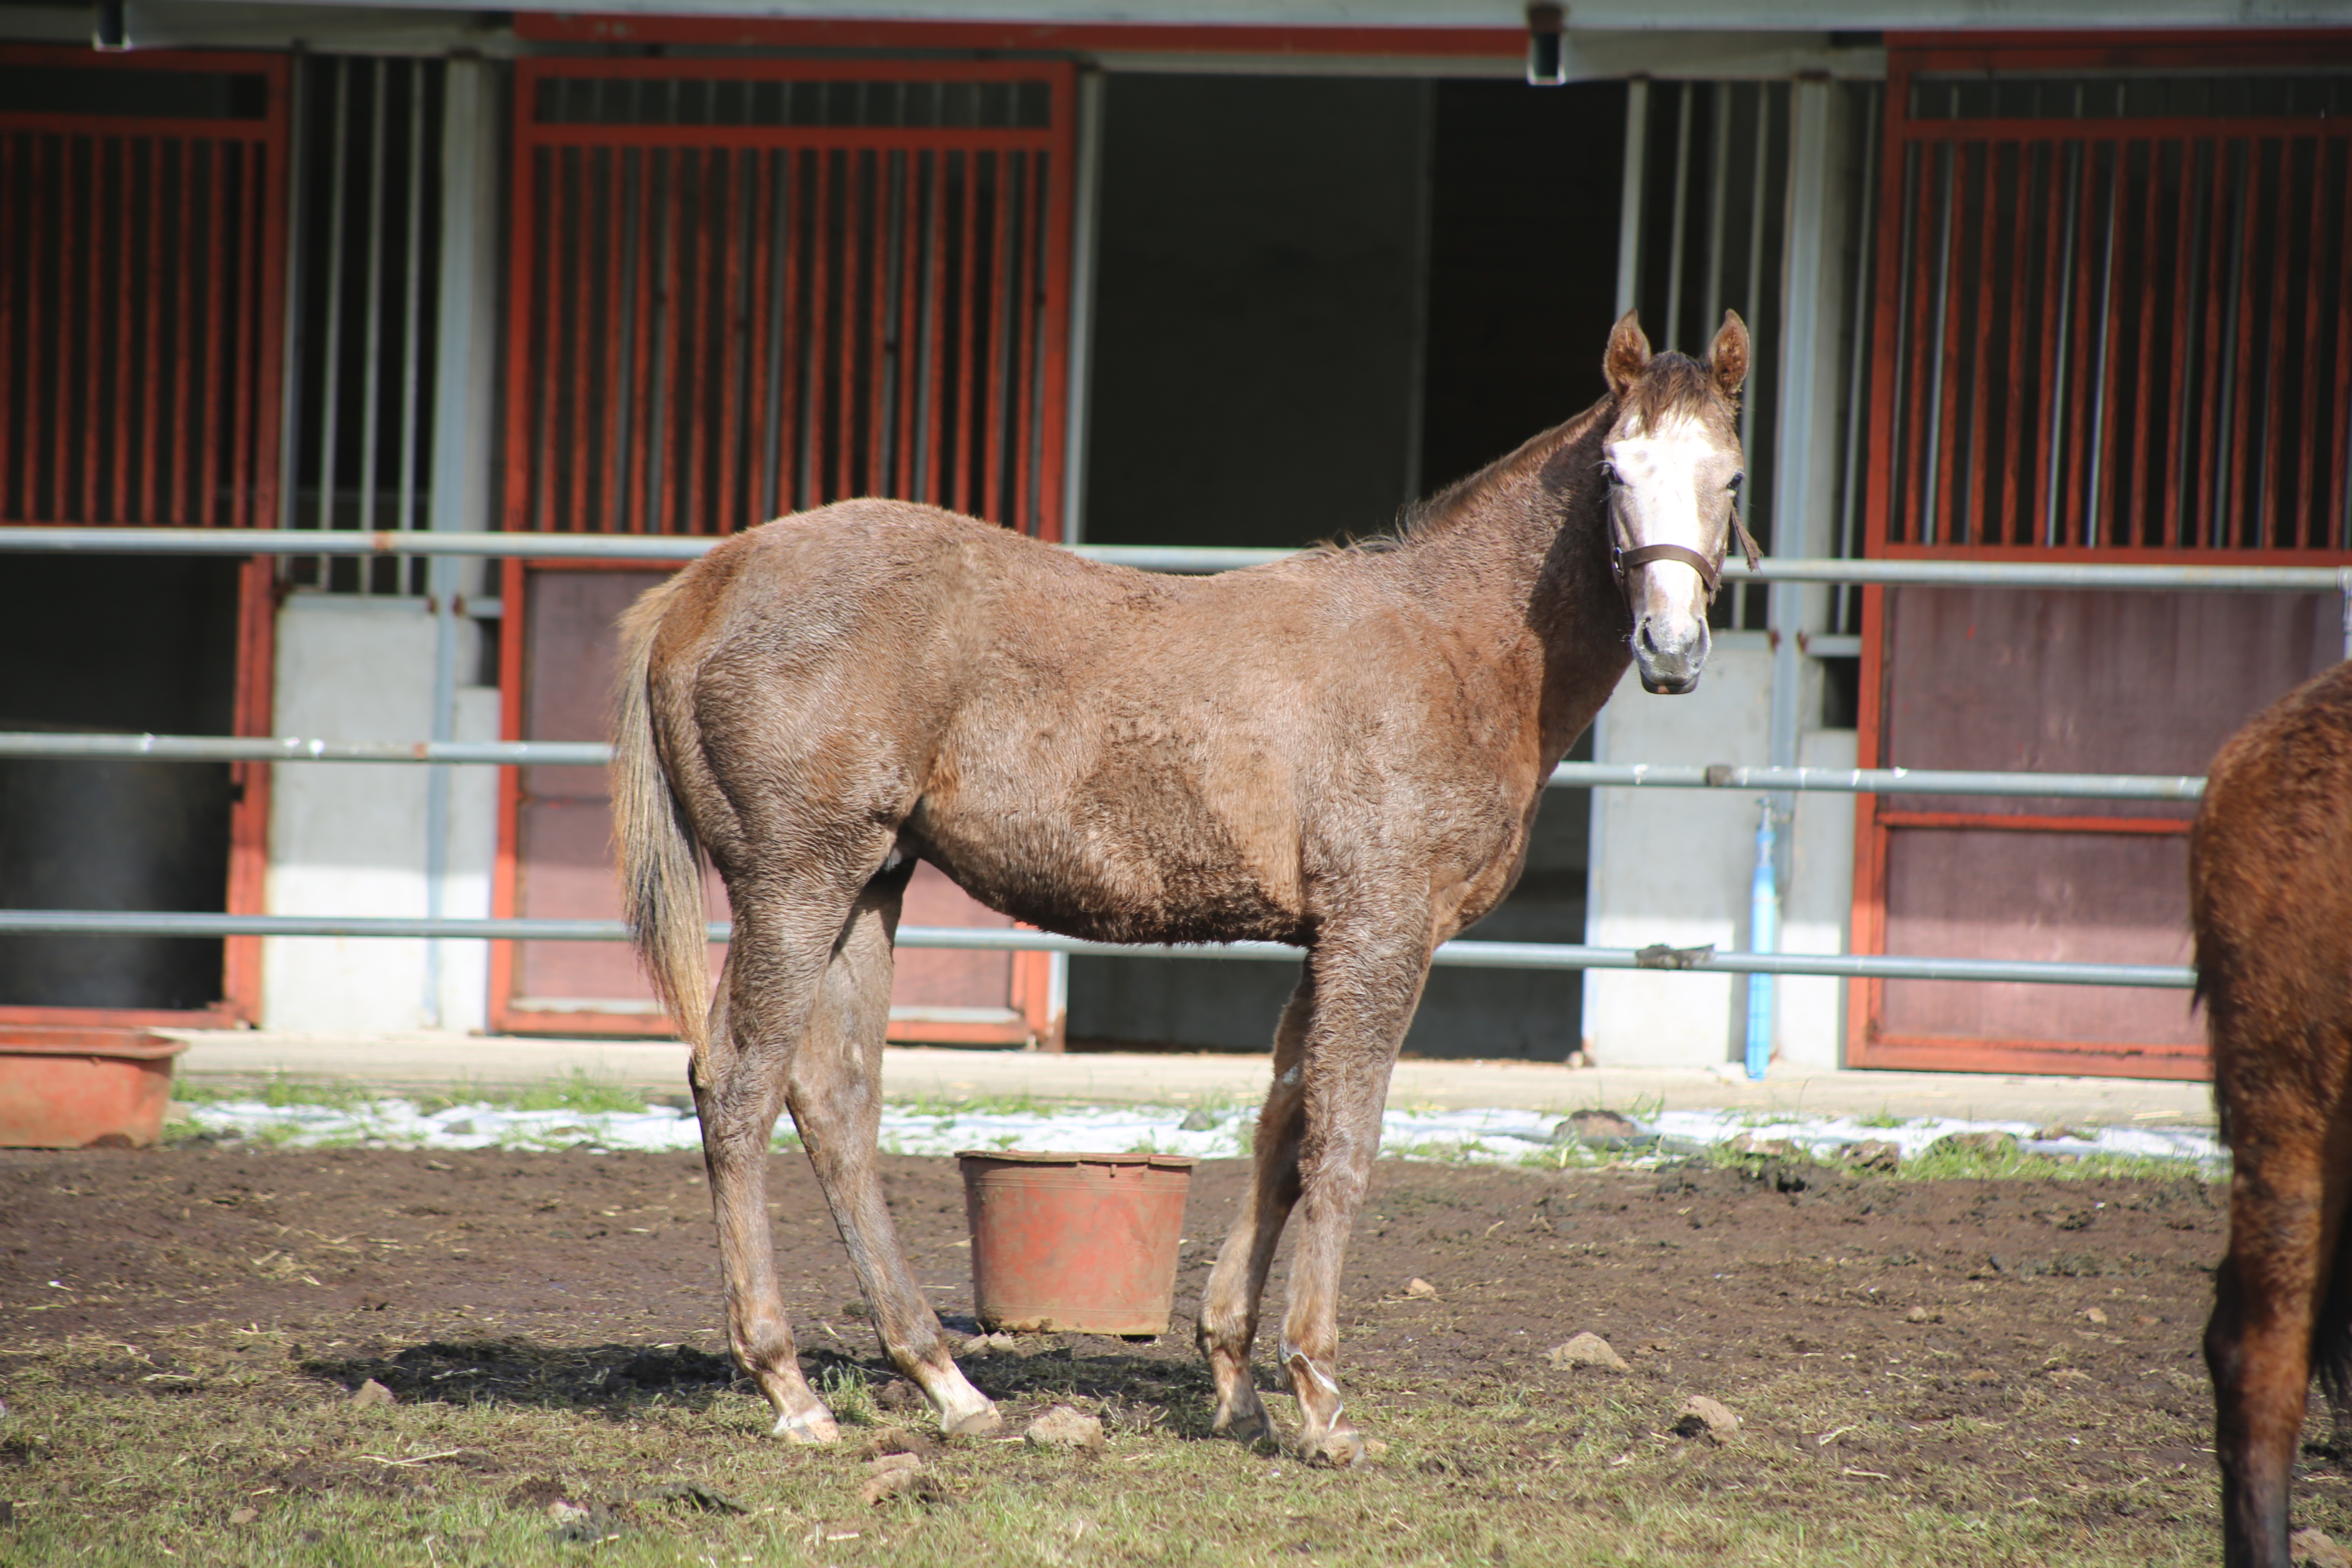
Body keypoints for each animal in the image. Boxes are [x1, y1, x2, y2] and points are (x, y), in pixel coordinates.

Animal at [616, 312, 1759, 1467]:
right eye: (1614, 470)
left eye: (1732, 476)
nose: (1670, 648)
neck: (1449, 650)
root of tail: (706, 584)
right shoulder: (1381, 930)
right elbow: (1343, 1142)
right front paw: (1319, 1397)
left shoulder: (1326, 941)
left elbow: (1282, 1134)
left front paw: (1237, 1379)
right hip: (795, 884)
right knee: (739, 1088)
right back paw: (790, 1389)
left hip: (866, 889)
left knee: (835, 1102)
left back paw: (947, 1384)